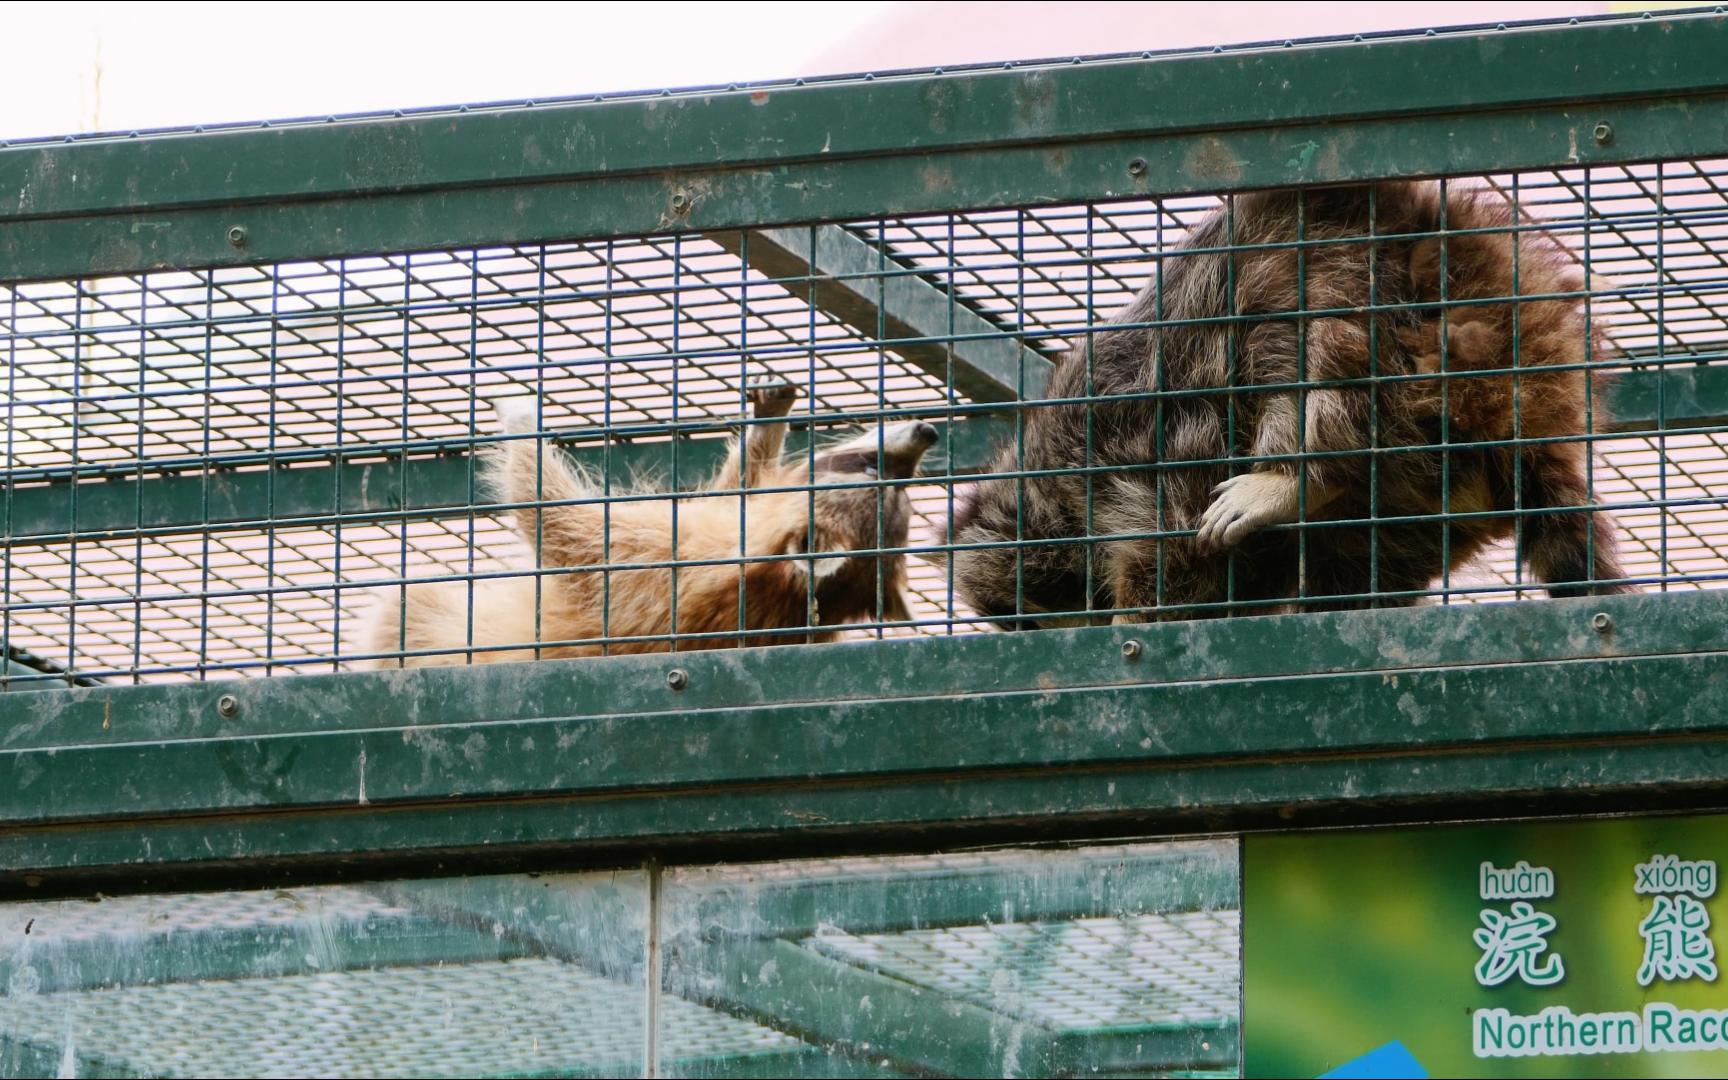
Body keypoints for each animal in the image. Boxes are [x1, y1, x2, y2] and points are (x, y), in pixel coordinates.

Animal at [357, 378, 940, 667]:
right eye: (888, 476)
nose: (928, 432)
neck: (786, 593)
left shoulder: (661, 570)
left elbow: (557, 522)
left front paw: (524, 421)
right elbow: (732, 489)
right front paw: (766, 424)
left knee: (407, 605)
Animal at [946, 181, 1631, 628]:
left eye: (1029, 617)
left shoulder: (1131, 445)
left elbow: (1170, 540)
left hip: (1402, 321)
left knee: (1304, 343)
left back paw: (1299, 474)